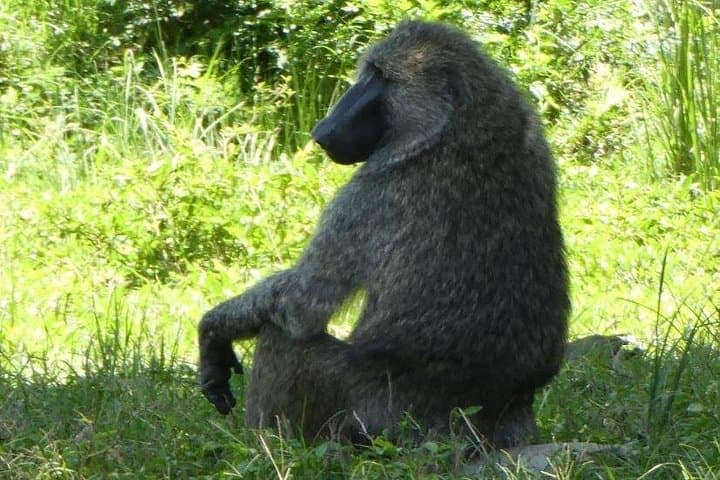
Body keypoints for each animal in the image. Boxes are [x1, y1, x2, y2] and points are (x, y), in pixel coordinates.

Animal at [198, 20, 570, 449]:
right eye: (370, 72)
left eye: (381, 77)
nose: (323, 129)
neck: (458, 120)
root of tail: (495, 412)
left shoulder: (371, 189)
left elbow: (299, 305)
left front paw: (213, 333)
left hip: (379, 414)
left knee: (282, 338)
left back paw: (266, 448)